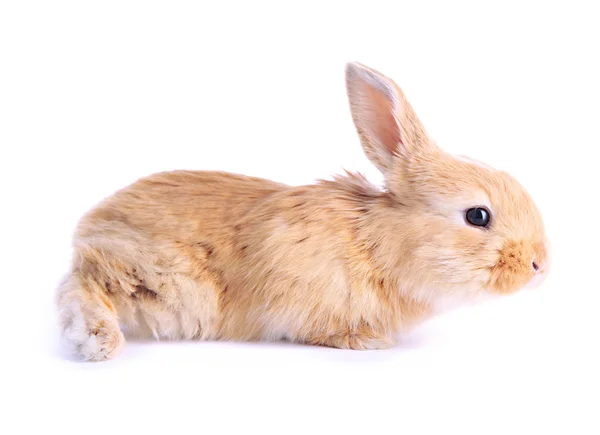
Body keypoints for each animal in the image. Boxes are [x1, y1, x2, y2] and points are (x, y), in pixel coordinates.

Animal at [56, 62, 548, 362]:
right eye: (478, 216)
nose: (539, 266)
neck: (375, 246)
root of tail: (89, 228)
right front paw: (366, 341)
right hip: (155, 280)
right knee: (83, 286)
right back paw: (100, 341)